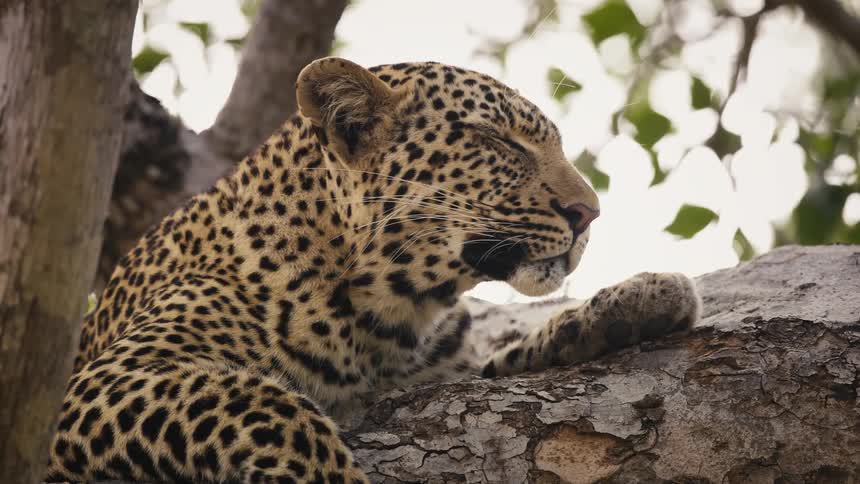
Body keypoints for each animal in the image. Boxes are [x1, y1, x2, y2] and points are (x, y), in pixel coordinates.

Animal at [45, 57, 701, 483]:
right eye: (498, 142)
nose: (588, 213)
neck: (393, 308)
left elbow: (510, 347)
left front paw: (639, 299)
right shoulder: (101, 382)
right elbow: (269, 404)